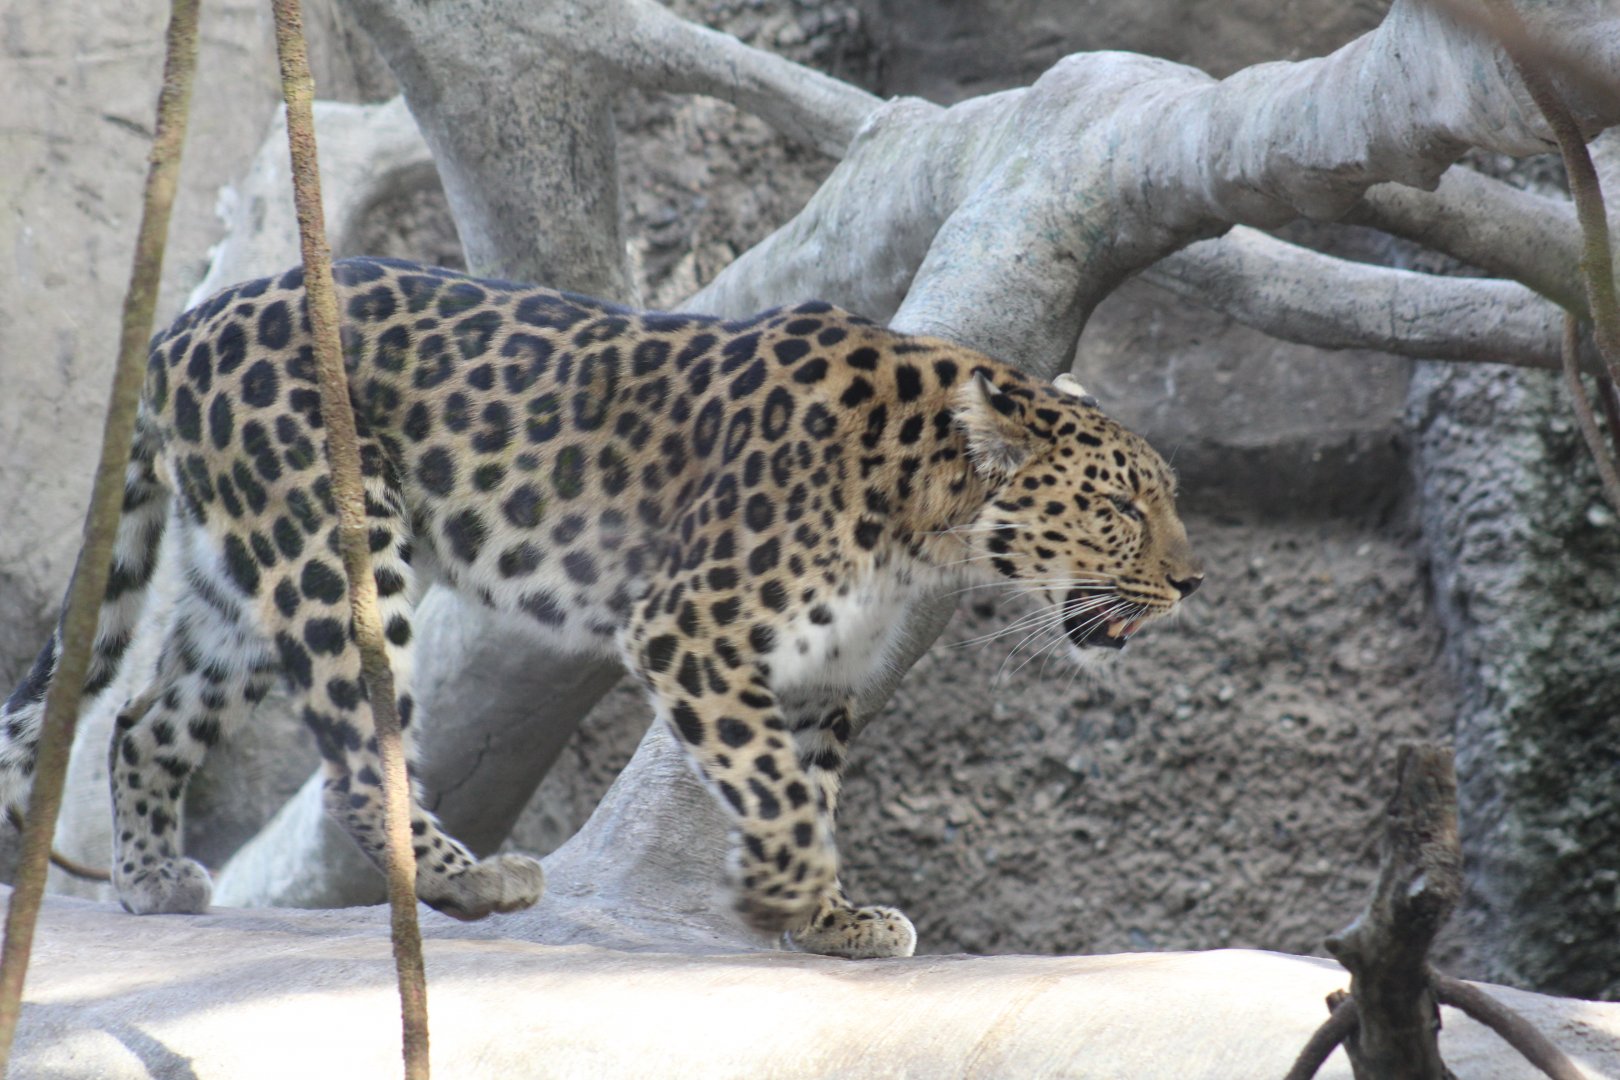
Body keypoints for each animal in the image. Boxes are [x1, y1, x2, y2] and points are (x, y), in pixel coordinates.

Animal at [0, 257, 1202, 959]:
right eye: (1120, 509)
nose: (1193, 582)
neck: (927, 528)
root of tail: (183, 324)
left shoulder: (825, 671)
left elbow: (809, 783)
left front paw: (831, 920)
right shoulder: (689, 624)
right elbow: (775, 784)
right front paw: (782, 898)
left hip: (238, 583)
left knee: (143, 718)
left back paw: (150, 882)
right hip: (332, 543)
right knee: (351, 756)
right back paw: (470, 880)